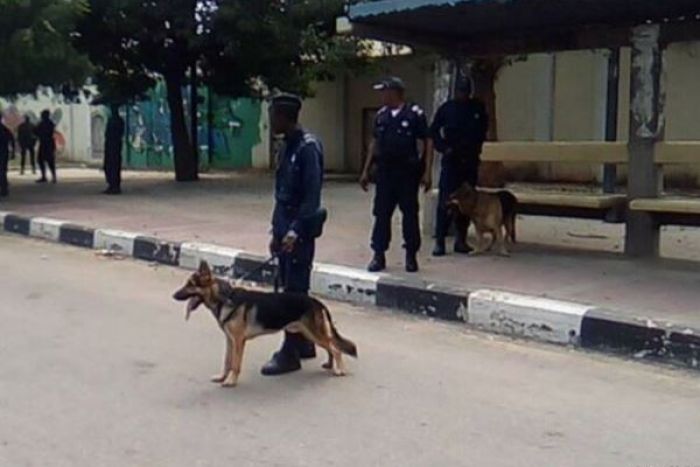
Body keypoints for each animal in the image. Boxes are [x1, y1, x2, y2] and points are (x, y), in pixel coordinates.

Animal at [173, 260, 358, 388]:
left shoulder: (238, 341)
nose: (173, 296)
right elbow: (227, 361)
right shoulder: (230, 340)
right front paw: (222, 377)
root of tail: (317, 302)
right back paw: (330, 365)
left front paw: (231, 381)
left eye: (190, 285)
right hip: (308, 333)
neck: (225, 298)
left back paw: (339, 370)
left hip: (314, 333)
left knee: (335, 348)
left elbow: (235, 364)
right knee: (331, 348)